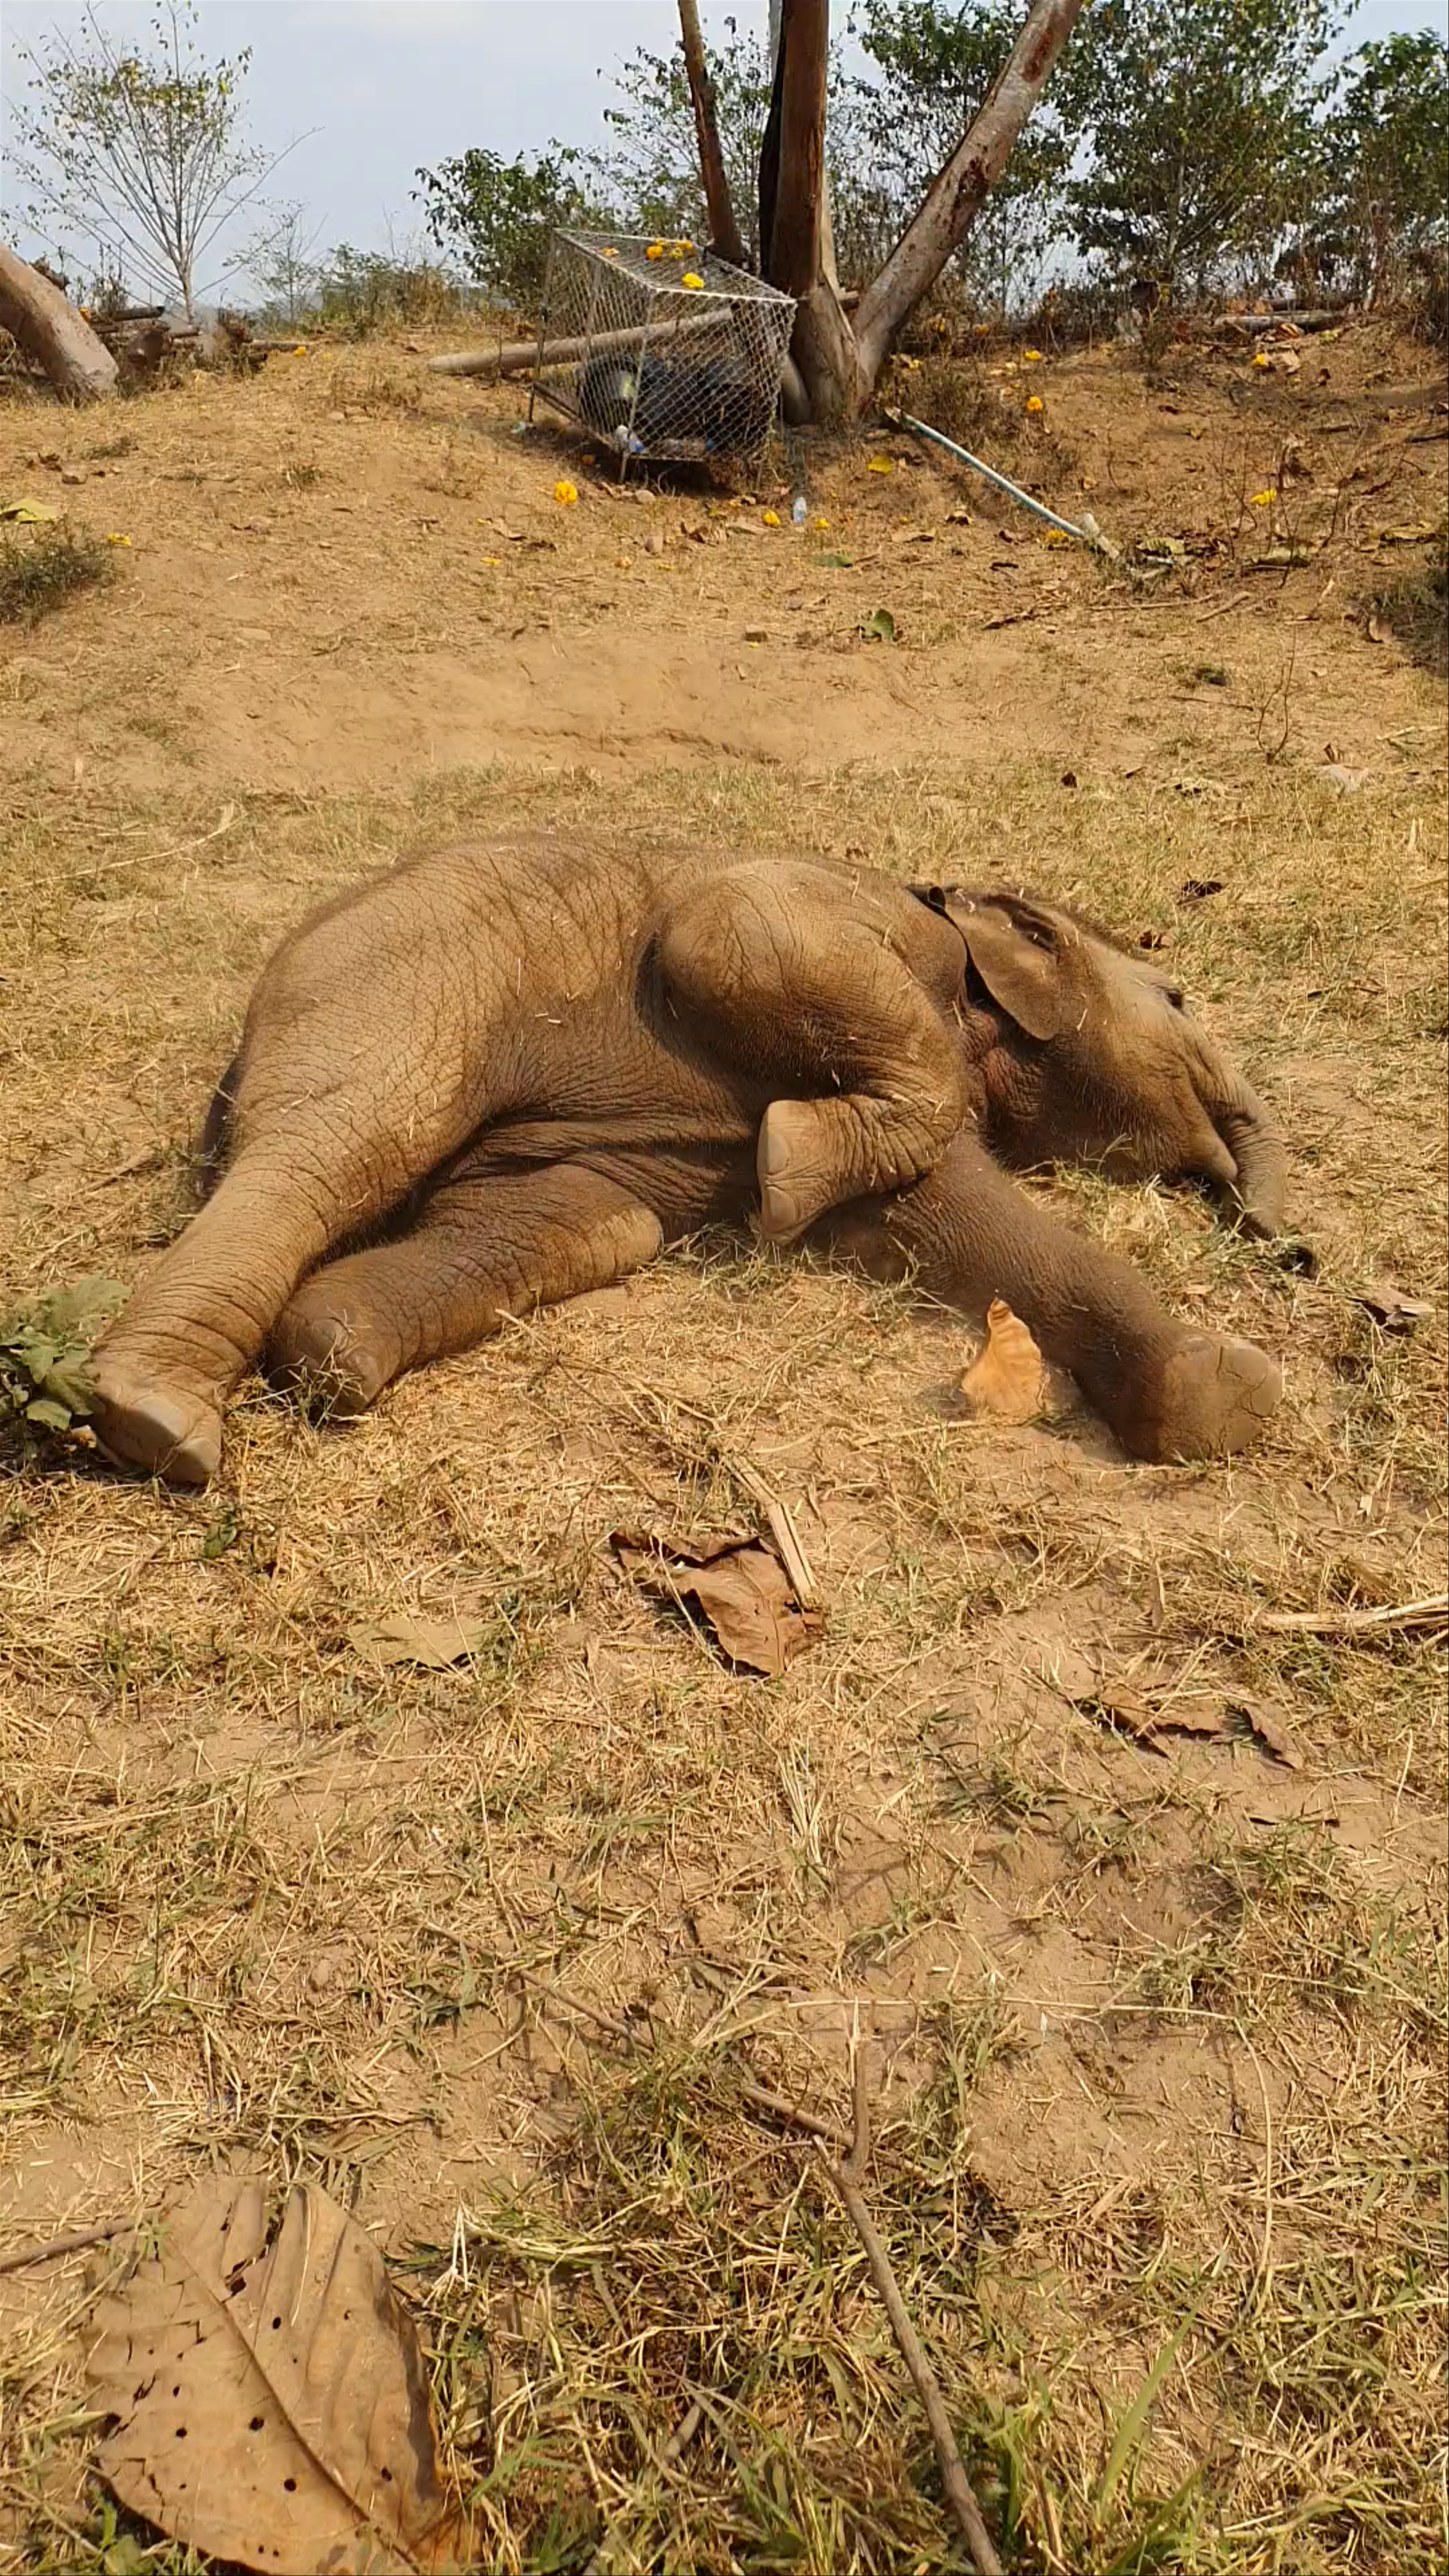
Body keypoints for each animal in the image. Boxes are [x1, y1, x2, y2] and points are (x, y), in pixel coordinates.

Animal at [86, 836, 1288, 1489]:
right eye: (1178, 999)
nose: (1291, 1248)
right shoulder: (848, 918)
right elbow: (736, 932)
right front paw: (786, 1172)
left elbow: (939, 1218)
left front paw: (1217, 1405)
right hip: (396, 977)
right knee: (340, 1144)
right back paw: (156, 1424)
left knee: (566, 1221)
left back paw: (335, 1347)